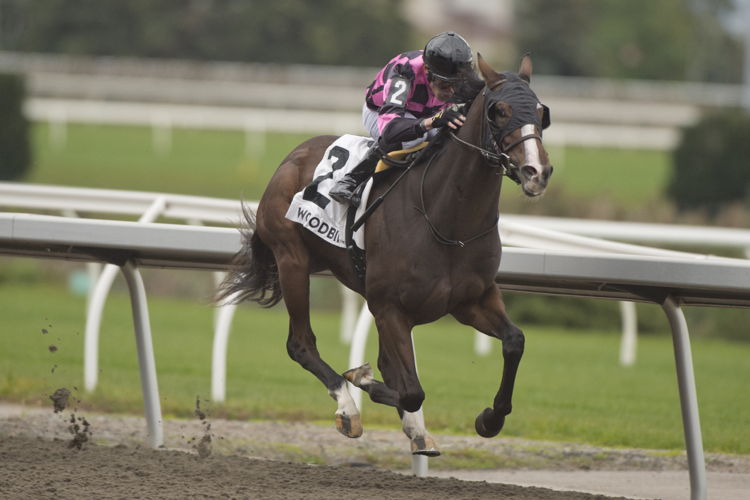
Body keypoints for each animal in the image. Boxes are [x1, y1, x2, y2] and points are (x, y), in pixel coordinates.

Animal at [217, 54, 552, 458]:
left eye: (542, 112)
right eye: (499, 111)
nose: (537, 171)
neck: (447, 221)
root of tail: (292, 157)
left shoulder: (471, 300)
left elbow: (514, 341)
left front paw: (489, 419)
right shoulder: (390, 307)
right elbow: (410, 390)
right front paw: (362, 380)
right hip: (291, 261)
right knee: (300, 344)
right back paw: (348, 407)